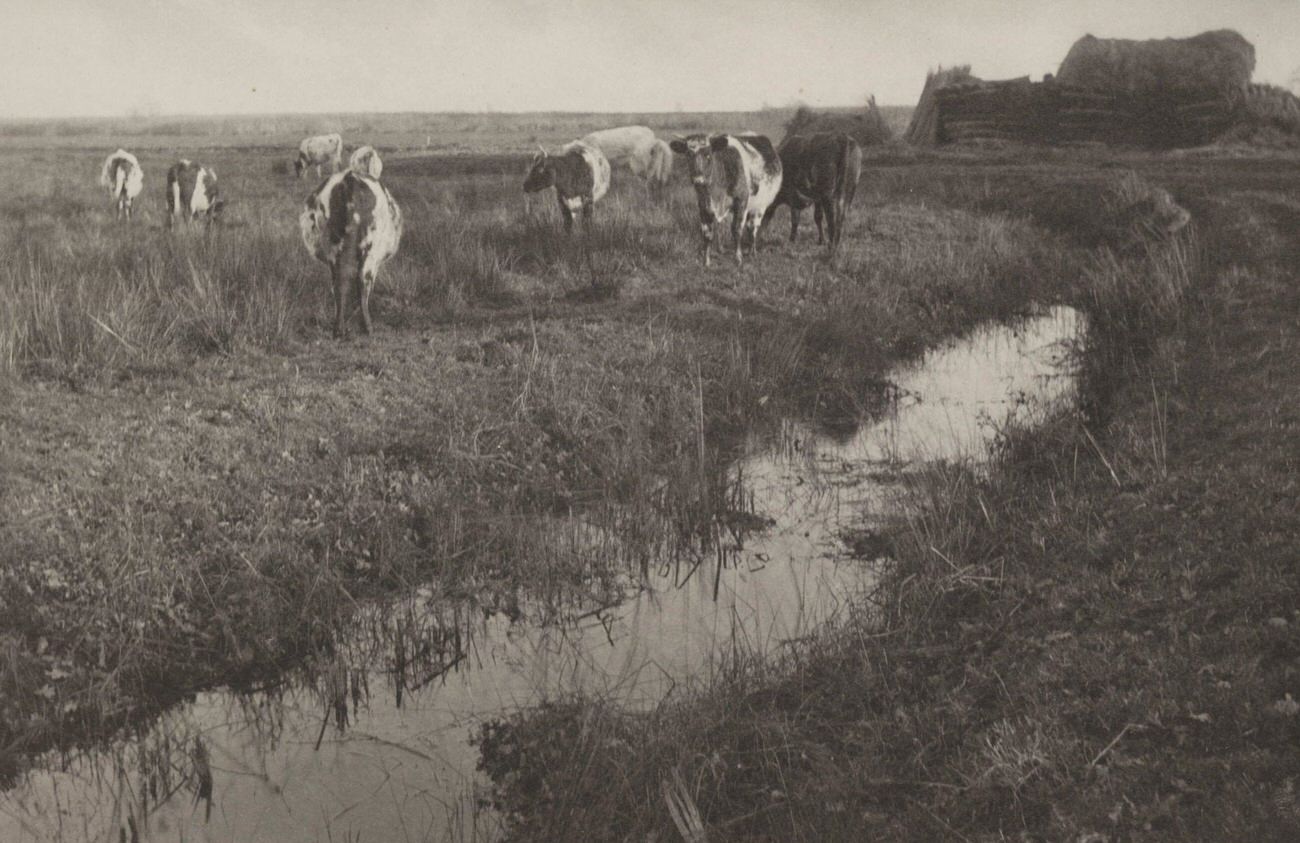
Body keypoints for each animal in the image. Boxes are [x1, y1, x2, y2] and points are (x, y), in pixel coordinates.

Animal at [299, 169, 400, 338]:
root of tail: (350, 180)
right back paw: (367, 327)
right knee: (363, 282)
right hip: (370, 249)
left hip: (333, 248)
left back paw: (339, 329)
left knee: (340, 283)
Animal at [670, 133, 780, 265]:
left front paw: (738, 258)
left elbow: (736, 229)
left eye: (708, 155)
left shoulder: (741, 201)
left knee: (752, 227)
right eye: (688, 155)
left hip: (759, 205)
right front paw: (706, 261)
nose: (698, 180)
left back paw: (752, 252)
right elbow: (707, 233)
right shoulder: (703, 205)